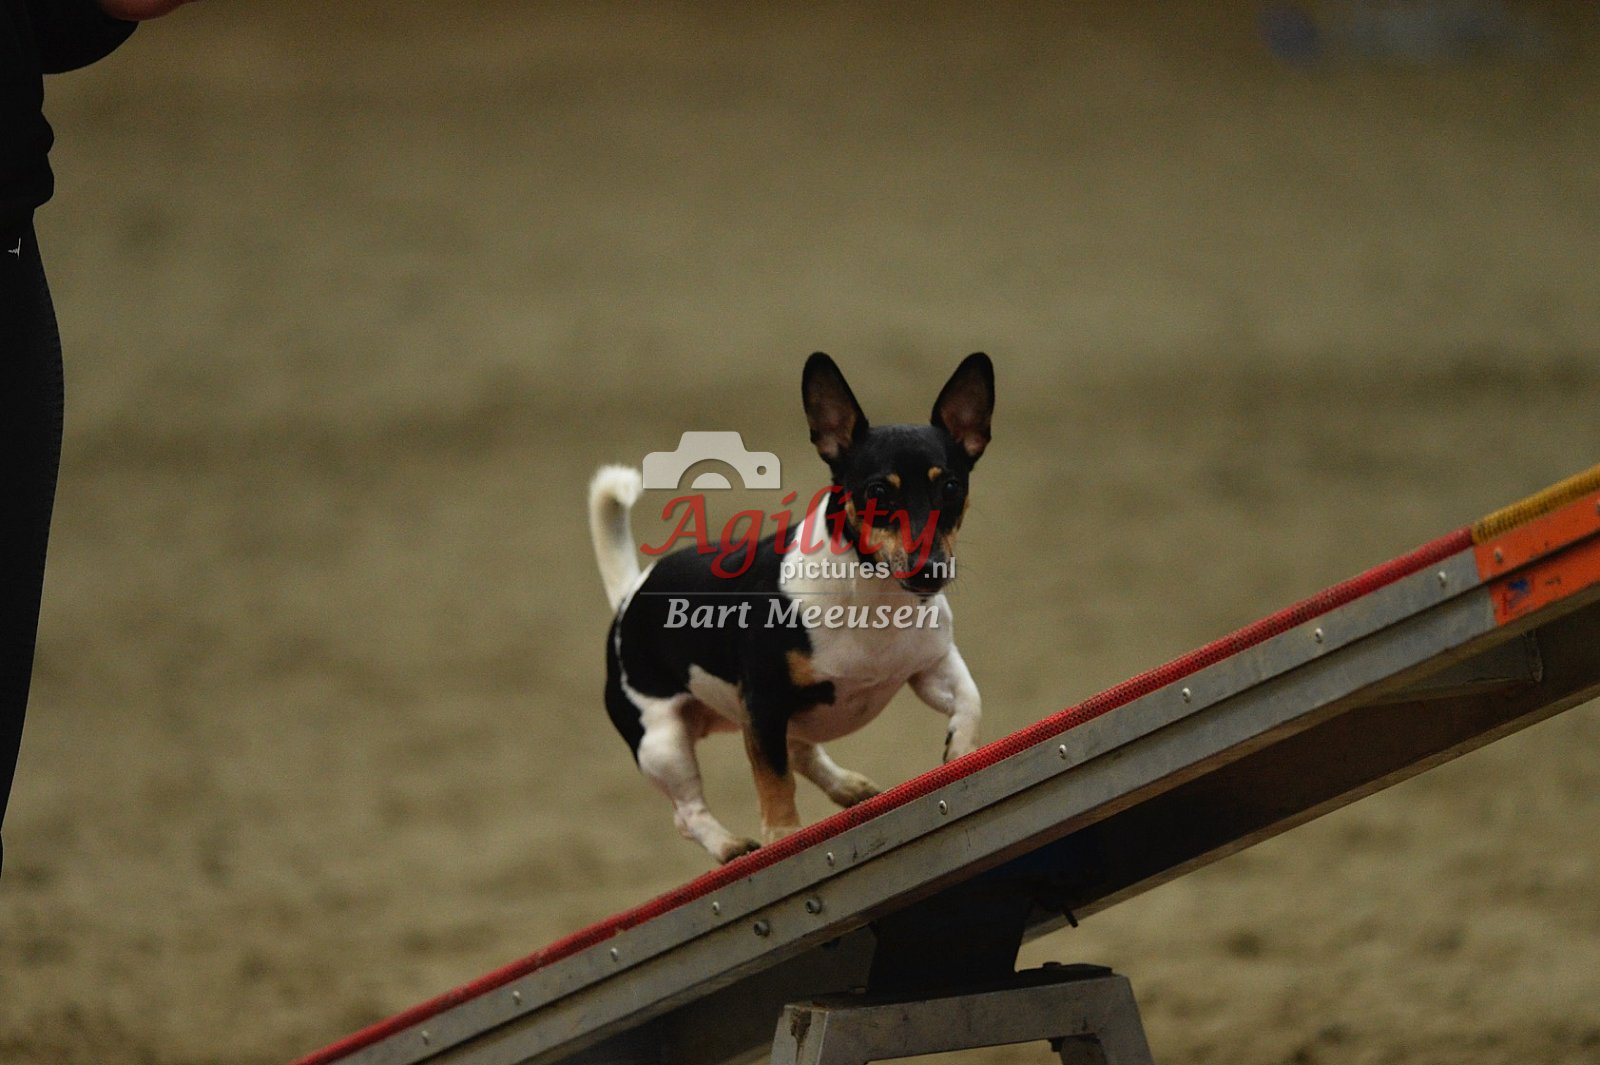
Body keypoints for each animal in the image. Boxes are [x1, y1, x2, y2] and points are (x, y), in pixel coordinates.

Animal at [587, 352, 992, 863]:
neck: (872, 595)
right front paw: (782, 838)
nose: (930, 570)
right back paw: (729, 846)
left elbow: (971, 700)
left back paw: (848, 787)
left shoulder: (932, 666)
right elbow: (773, 782)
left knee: (801, 751)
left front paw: (960, 754)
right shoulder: (763, 706)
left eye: (952, 487)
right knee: (689, 812)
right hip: (662, 741)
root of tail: (629, 593)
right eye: (878, 492)